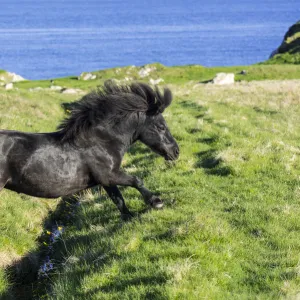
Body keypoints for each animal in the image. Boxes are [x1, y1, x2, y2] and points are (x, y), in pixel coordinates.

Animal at [0, 81, 178, 218]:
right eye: (161, 127)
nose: (176, 152)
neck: (101, 141)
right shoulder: (108, 175)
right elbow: (136, 180)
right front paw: (156, 202)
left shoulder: (106, 181)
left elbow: (118, 199)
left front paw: (129, 217)